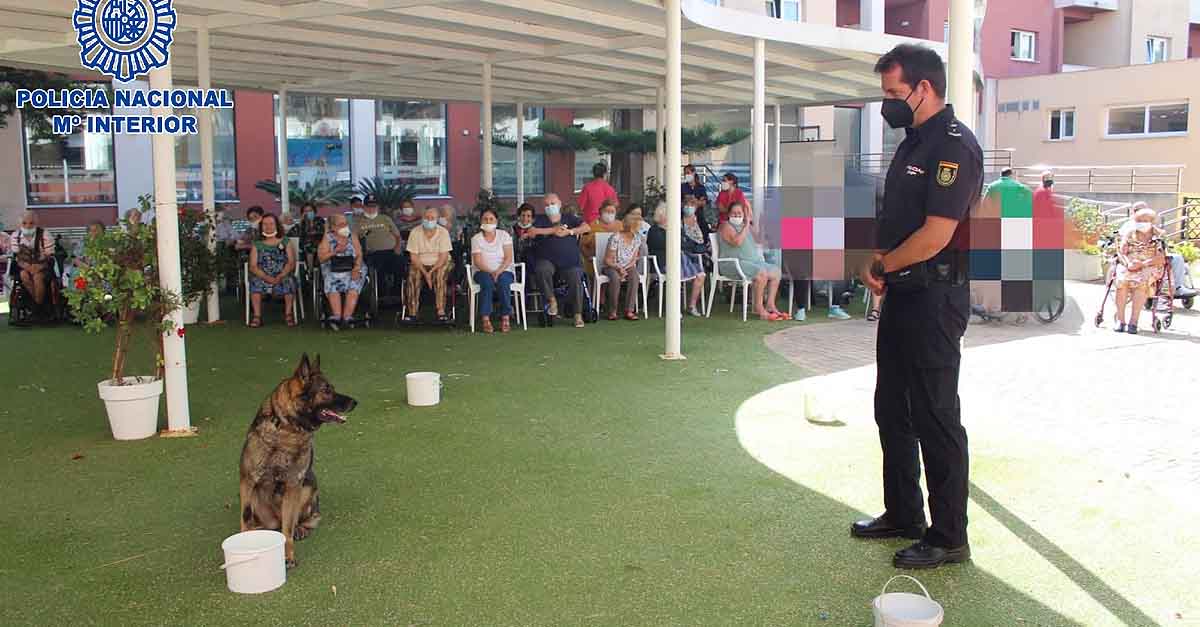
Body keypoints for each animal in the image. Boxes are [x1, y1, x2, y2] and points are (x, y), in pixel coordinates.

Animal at [238, 350, 355, 566]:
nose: (355, 402)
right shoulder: (247, 481)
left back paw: (301, 527)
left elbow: (288, 529)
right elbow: (245, 517)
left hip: (308, 486)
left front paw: (289, 554)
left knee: (302, 519)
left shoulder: (294, 484)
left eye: (332, 388)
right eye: (326, 390)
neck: (287, 429)